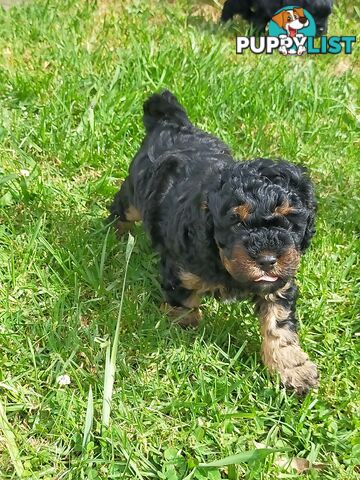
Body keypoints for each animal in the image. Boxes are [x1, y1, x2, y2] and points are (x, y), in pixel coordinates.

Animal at [109, 90, 318, 394]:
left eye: (289, 219)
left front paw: (293, 369)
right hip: (135, 193)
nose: (267, 260)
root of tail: (171, 123)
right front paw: (186, 328)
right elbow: (183, 302)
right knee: (121, 208)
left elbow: (279, 326)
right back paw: (114, 234)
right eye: (236, 222)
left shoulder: (279, 283)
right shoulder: (181, 271)